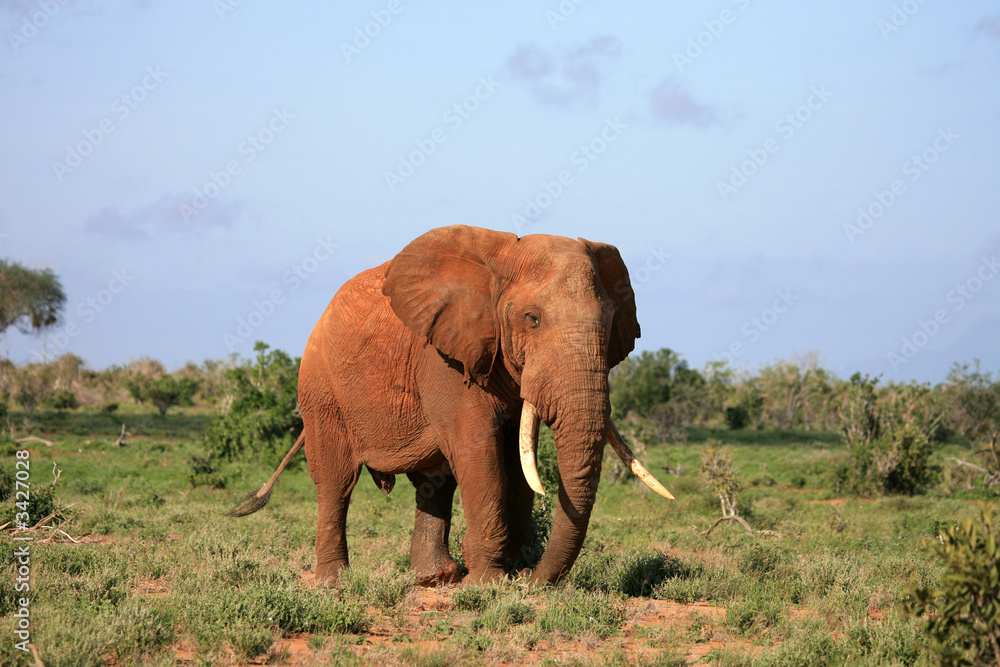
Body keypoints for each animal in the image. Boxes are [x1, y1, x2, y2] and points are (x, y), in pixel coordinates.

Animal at [228, 225, 673, 585]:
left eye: (611, 321)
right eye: (532, 319)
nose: (533, 579)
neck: (498, 263)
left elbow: (515, 458)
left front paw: (512, 572)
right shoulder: (442, 359)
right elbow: (480, 450)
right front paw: (491, 583)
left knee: (434, 482)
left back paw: (434, 578)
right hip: (321, 390)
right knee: (336, 481)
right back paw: (333, 582)